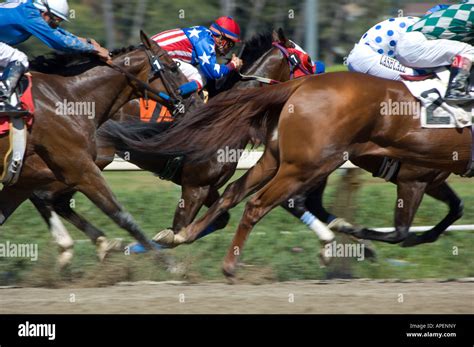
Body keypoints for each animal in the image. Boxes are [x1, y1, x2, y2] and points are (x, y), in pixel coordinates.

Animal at [0, 32, 189, 253]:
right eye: (174, 68)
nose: (193, 99)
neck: (69, 97)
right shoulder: (79, 166)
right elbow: (123, 216)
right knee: (50, 198)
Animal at [102, 72, 472, 278]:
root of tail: (301, 84)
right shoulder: (415, 178)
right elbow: (400, 231)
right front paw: (353, 234)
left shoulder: (432, 176)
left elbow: (453, 210)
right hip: (307, 166)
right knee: (258, 205)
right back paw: (229, 264)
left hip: (278, 160)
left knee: (234, 194)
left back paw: (180, 237)